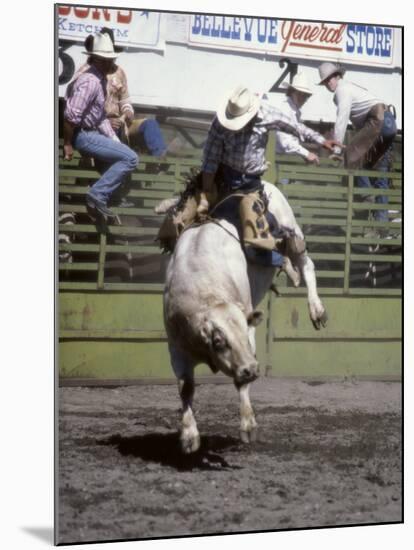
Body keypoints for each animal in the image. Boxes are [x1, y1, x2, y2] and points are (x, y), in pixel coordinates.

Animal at [155, 179, 326, 454]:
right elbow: (186, 387)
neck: (206, 291)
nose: (252, 370)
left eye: (244, 334)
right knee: (290, 263)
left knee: (305, 263)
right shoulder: (176, 348)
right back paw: (292, 274)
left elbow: (240, 384)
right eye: (218, 341)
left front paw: (248, 426)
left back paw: (316, 309)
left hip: (290, 228)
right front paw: (189, 436)